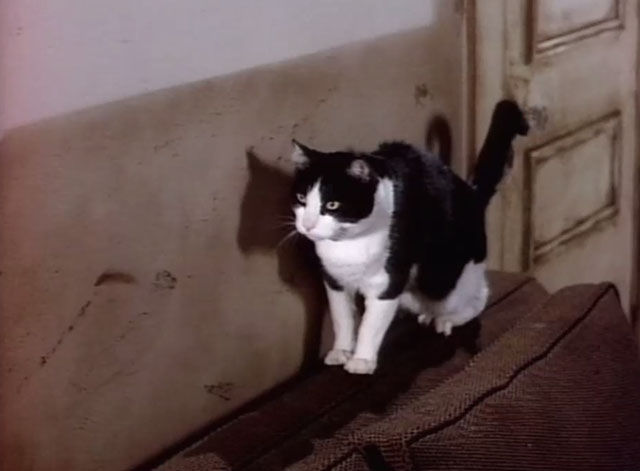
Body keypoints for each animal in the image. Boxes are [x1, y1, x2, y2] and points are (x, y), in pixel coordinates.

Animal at [292, 100, 528, 376]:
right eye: (301, 199)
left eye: (332, 205)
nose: (307, 225)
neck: (351, 243)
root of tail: (471, 193)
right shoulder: (334, 280)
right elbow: (342, 318)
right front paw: (340, 351)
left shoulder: (390, 281)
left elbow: (371, 324)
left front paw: (361, 360)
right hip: (412, 293)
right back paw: (425, 315)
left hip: (443, 279)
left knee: (476, 295)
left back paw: (446, 319)